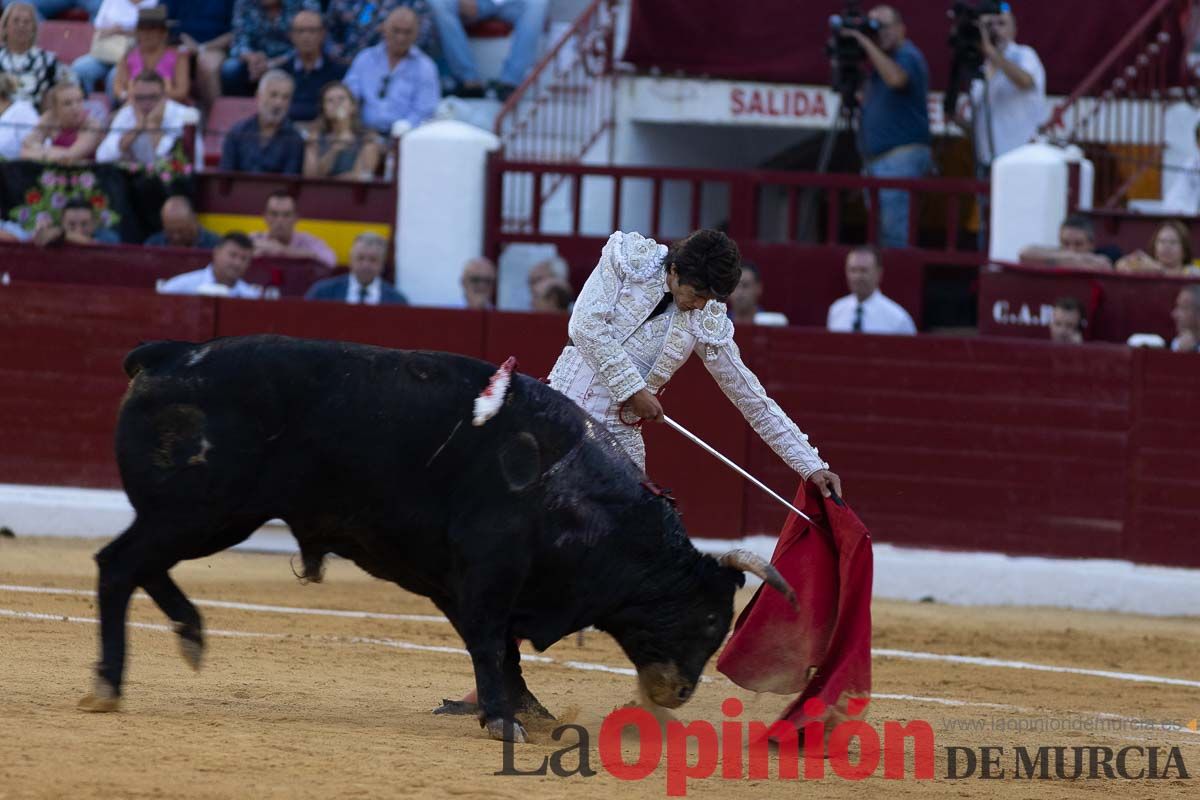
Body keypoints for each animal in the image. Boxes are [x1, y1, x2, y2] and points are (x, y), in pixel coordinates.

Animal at [84, 335, 796, 743]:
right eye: (711, 620)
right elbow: (489, 641)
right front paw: (501, 718)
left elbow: (502, 649)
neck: (572, 493)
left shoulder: (466, 584)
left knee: (142, 565)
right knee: (119, 564)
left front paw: (523, 710)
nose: (677, 694)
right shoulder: (487, 574)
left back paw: (189, 634)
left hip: (201, 516)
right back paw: (109, 685)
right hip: (203, 510)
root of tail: (166, 356)